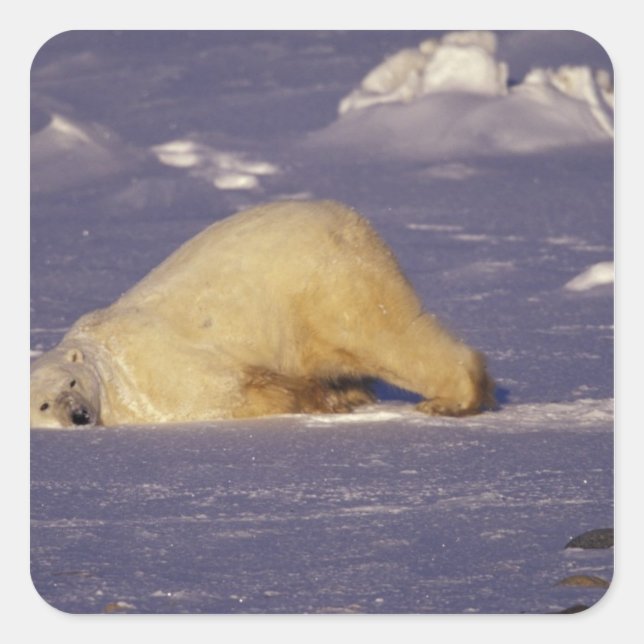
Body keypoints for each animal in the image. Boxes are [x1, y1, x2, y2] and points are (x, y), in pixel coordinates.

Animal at [30, 199, 495, 428]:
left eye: (72, 381)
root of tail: (347, 217)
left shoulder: (156, 373)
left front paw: (319, 401)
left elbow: (239, 389)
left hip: (325, 282)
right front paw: (333, 399)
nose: (79, 415)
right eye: (43, 405)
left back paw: (450, 400)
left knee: (381, 337)